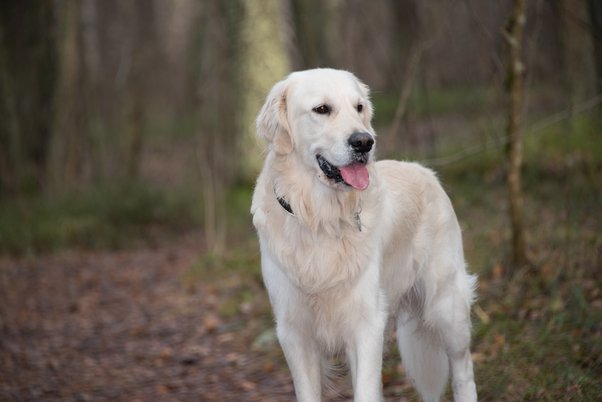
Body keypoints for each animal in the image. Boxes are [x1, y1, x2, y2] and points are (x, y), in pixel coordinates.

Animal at [248, 67, 474, 400]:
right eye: (322, 109)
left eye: (359, 108)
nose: (364, 142)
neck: (321, 218)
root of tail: (425, 171)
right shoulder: (294, 331)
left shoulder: (366, 323)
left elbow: (366, 390)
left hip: (447, 304)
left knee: (463, 369)